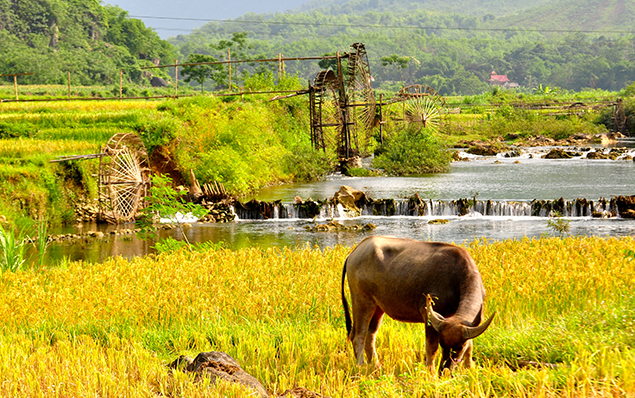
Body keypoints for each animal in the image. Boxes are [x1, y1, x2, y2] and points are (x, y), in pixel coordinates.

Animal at [342, 235, 496, 372]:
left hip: (378, 307)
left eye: (460, 347)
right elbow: (431, 348)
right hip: (362, 300)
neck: (457, 279)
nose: (444, 370)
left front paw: (470, 369)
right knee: (358, 335)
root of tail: (355, 252)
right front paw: (430, 372)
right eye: (442, 344)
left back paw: (376, 366)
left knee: (370, 335)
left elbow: (470, 346)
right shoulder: (428, 315)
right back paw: (361, 367)